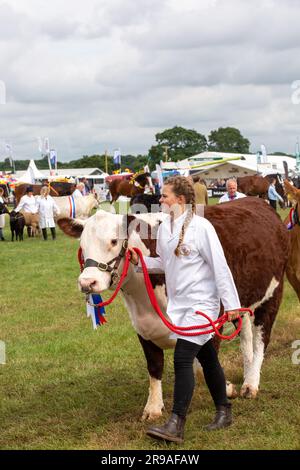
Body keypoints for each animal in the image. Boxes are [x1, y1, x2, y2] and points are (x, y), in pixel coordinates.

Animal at [58, 199, 292, 422]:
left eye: (114, 241)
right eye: (82, 245)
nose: (87, 282)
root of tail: (258, 202)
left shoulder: (209, 323)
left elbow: (204, 367)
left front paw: (226, 388)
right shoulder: (143, 326)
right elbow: (155, 367)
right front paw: (153, 408)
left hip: (273, 294)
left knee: (261, 339)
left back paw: (251, 384)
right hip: (239, 301)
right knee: (245, 338)